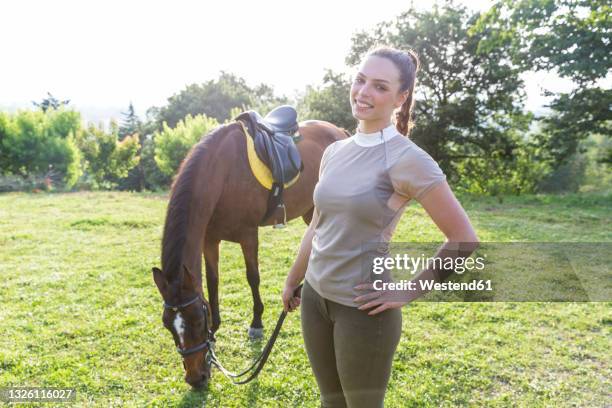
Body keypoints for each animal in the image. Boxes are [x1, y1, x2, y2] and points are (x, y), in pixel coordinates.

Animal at [152, 119, 350, 388]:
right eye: (167, 324)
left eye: (197, 320)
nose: (195, 378)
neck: (223, 172)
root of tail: (340, 131)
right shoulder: (209, 239)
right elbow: (213, 282)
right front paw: (216, 330)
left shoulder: (248, 235)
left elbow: (252, 278)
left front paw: (256, 323)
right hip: (312, 210)